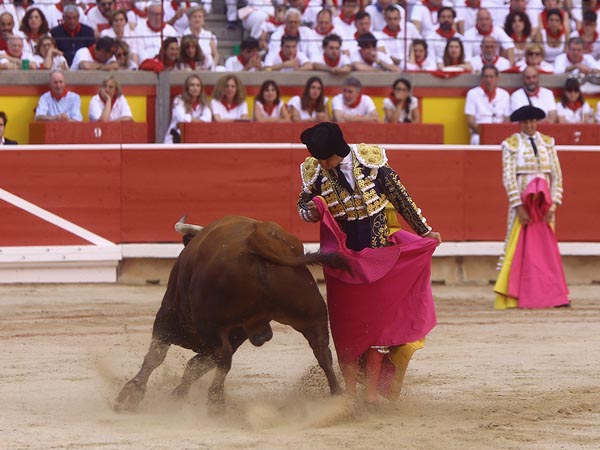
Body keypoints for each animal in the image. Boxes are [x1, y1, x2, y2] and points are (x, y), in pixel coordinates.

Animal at [114, 214, 344, 412]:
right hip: (311, 313)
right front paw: (177, 394)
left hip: (209, 324)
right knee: (322, 351)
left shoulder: (168, 314)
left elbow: (157, 356)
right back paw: (338, 397)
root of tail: (259, 238)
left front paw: (131, 393)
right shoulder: (237, 333)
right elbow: (195, 366)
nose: (263, 336)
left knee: (222, 358)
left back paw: (215, 403)